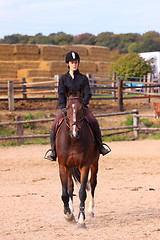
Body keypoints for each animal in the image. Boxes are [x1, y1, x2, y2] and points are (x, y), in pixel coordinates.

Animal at [55, 89, 99, 228]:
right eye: (67, 107)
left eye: (82, 108)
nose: (75, 132)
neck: (73, 140)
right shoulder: (63, 167)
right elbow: (65, 193)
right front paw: (68, 215)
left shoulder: (85, 166)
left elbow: (82, 193)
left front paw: (81, 220)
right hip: (69, 168)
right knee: (70, 188)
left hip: (94, 164)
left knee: (93, 183)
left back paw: (91, 210)